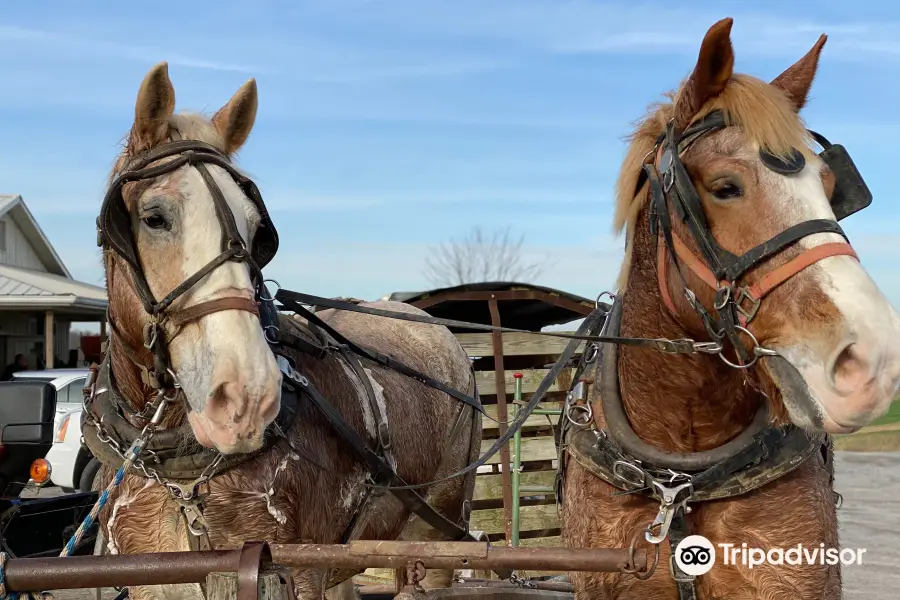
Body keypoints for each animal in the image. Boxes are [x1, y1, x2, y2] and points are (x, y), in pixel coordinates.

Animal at [85, 62, 488, 600]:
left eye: (260, 231)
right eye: (154, 217)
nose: (247, 397)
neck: (184, 480)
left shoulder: (294, 570)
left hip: (436, 530)